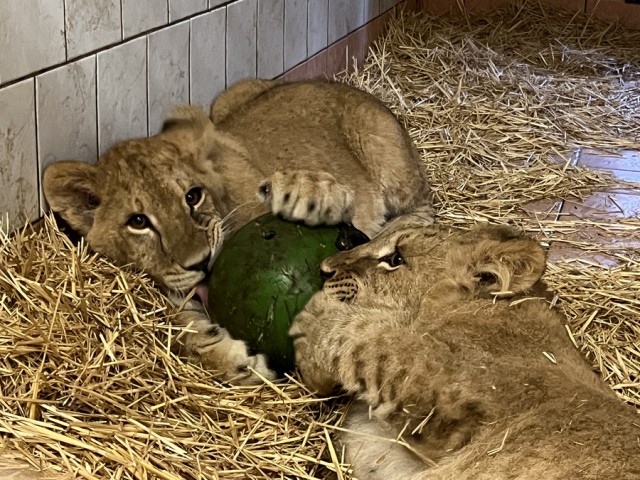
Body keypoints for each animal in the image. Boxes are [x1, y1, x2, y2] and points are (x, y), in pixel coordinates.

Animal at [42, 79, 433, 383]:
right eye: (138, 222)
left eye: (192, 196)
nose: (201, 262)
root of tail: (348, 86)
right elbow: (184, 326)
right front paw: (234, 359)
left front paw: (310, 195)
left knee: (422, 212)